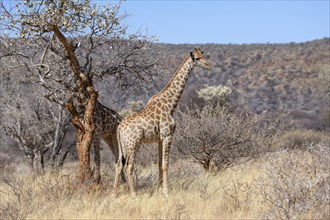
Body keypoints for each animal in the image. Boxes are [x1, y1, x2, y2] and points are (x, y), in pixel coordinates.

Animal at [113, 48, 210, 196]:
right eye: (198, 58)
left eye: (203, 55)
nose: (208, 65)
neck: (170, 105)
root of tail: (119, 128)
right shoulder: (167, 135)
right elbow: (165, 164)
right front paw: (166, 192)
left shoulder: (159, 138)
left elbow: (159, 163)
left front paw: (159, 189)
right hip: (133, 143)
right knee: (129, 165)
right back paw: (134, 194)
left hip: (122, 145)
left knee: (119, 164)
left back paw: (113, 194)